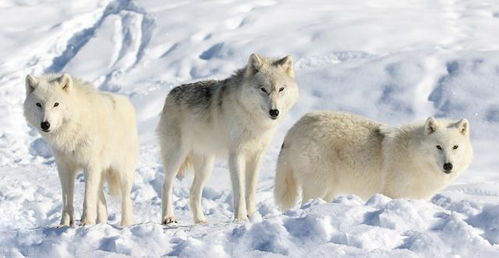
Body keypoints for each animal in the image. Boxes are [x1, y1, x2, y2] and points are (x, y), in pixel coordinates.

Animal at [22, 73, 138, 226]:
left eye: (56, 104)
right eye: (38, 104)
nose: (45, 124)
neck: (72, 129)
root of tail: (126, 101)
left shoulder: (90, 165)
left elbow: (87, 197)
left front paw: (86, 222)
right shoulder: (64, 167)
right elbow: (67, 199)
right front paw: (64, 224)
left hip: (122, 170)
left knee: (126, 199)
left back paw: (125, 223)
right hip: (100, 173)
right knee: (102, 200)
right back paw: (101, 223)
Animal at [158, 53, 298, 224]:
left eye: (281, 89)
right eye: (263, 89)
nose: (274, 112)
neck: (253, 120)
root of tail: (170, 94)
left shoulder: (256, 156)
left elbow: (250, 190)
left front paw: (252, 216)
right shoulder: (236, 155)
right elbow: (239, 190)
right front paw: (241, 218)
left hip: (206, 166)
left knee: (193, 192)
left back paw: (200, 220)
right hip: (177, 157)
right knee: (166, 185)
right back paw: (168, 217)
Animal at [276, 110, 474, 210]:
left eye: (455, 147)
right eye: (438, 147)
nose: (448, 166)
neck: (414, 156)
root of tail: (294, 127)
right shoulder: (393, 193)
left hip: (329, 188)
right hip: (319, 185)